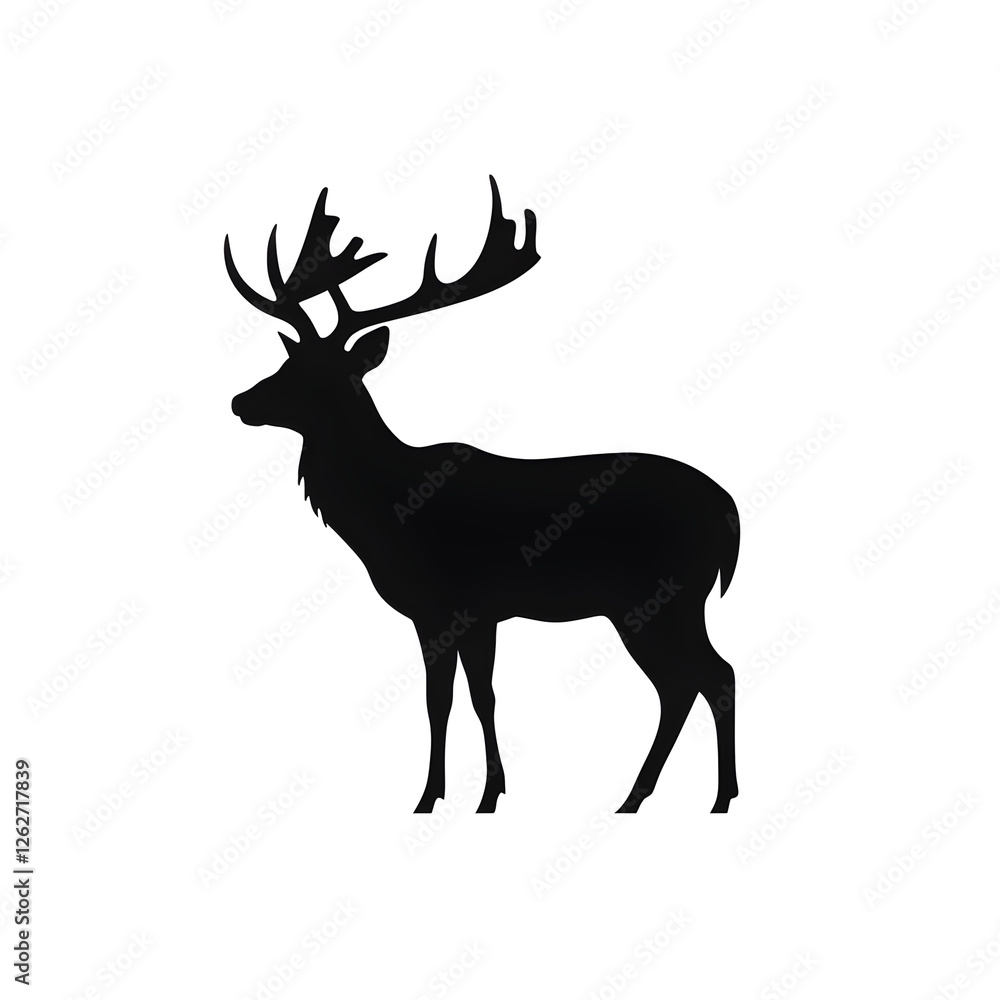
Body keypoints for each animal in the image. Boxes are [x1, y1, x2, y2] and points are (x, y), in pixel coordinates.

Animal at [224, 177, 740, 814]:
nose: (242, 401)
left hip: (663, 595)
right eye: (287, 359)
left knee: (708, 676)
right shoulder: (476, 614)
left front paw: (442, 796)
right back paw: (653, 797)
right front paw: (479, 792)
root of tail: (731, 512)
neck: (386, 516)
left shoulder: (448, 604)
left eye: (324, 374)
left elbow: (448, 700)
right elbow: (474, 696)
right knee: (691, 682)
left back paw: (704, 797)